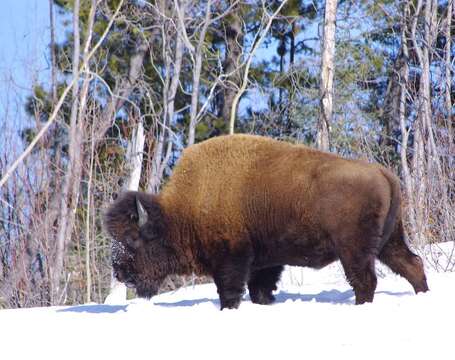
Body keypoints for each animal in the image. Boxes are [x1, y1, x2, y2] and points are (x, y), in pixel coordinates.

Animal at [105, 135, 430, 310]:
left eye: (132, 239)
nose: (119, 272)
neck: (183, 210)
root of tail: (382, 172)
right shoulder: (264, 264)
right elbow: (260, 290)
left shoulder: (232, 260)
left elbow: (230, 292)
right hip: (388, 241)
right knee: (411, 264)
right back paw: (423, 296)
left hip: (354, 249)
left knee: (365, 280)